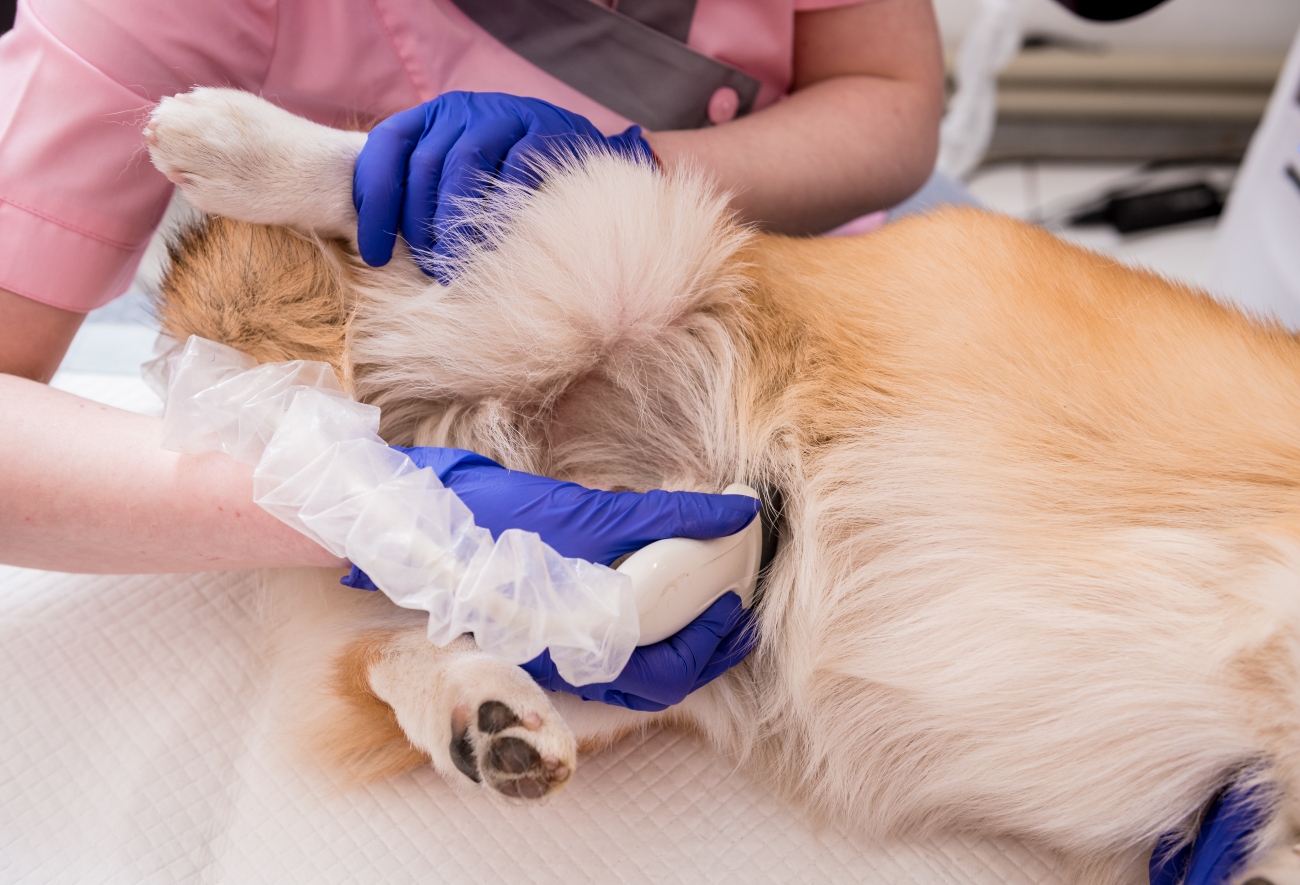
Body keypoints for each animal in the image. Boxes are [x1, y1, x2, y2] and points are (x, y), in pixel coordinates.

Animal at [142, 86, 1300, 878]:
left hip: (668, 670)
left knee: (427, 646)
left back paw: (488, 716)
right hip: (615, 248)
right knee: (430, 182)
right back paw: (228, 142)